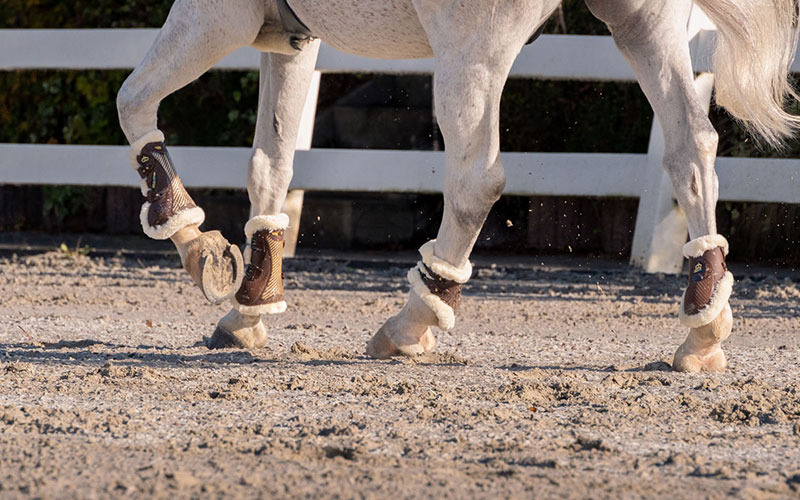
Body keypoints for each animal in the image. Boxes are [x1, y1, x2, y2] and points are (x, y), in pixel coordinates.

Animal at [115, 0, 796, 372]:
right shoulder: (290, 37)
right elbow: (272, 161)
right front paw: (251, 302)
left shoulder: (217, 11)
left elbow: (132, 101)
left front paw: (200, 248)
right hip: (643, 24)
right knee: (690, 146)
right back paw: (704, 325)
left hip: (472, 49)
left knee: (476, 179)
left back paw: (414, 317)